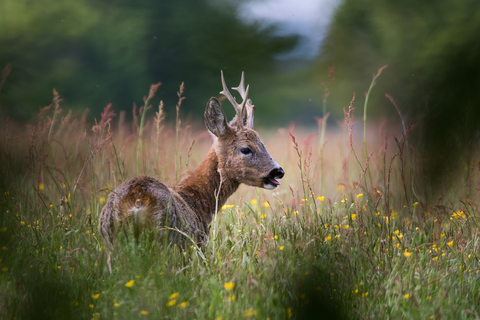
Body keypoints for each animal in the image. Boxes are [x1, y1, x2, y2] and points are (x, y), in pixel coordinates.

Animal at [99, 71, 284, 251]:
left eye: (263, 144)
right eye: (245, 149)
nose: (279, 171)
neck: (198, 201)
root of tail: (137, 202)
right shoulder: (196, 246)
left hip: (111, 242)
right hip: (165, 241)